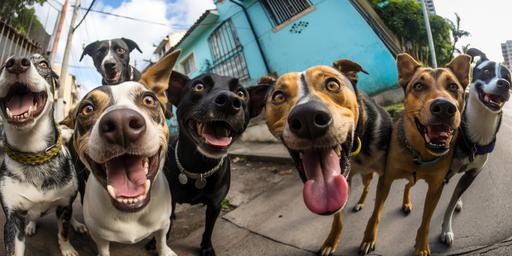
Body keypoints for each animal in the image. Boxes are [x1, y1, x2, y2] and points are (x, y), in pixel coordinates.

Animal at [0, 53, 87, 254]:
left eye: (43, 64)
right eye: (1, 66)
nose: (16, 63)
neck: (33, 154)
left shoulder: (64, 205)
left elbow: (63, 232)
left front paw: (67, 248)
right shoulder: (13, 217)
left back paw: (77, 224)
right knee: (32, 217)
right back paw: (31, 225)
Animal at [67, 50, 181, 256]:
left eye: (149, 99)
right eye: (87, 109)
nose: (121, 124)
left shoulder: (162, 224)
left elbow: (161, 239)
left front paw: (164, 250)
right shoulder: (100, 237)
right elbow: (103, 249)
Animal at [358, 53, 470, 255]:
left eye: (453, 86)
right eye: (418, 85)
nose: (444, 107)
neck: (420, 153)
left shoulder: (436, 187)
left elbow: (426, 221)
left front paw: (422, 246)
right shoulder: (386, 179)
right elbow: (376, 212)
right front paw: (369, 238)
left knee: (408, 184)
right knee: (407, 184)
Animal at [438, 48, 510, 246]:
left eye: (508, 76)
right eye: (486, 71)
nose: (504, 84)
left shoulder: (472, 174)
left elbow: (450, 204)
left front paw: (446, 229)